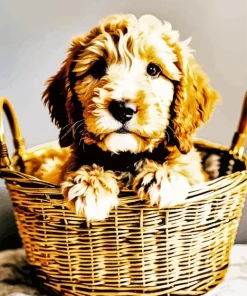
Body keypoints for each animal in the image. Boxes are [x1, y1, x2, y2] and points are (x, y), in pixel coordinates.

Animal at [32, 13, 218, 222]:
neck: (126, 158)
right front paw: (89, 185)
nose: (122, 109)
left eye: (153, 70)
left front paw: (163, 176)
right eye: (98, 68)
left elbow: (182, 165)